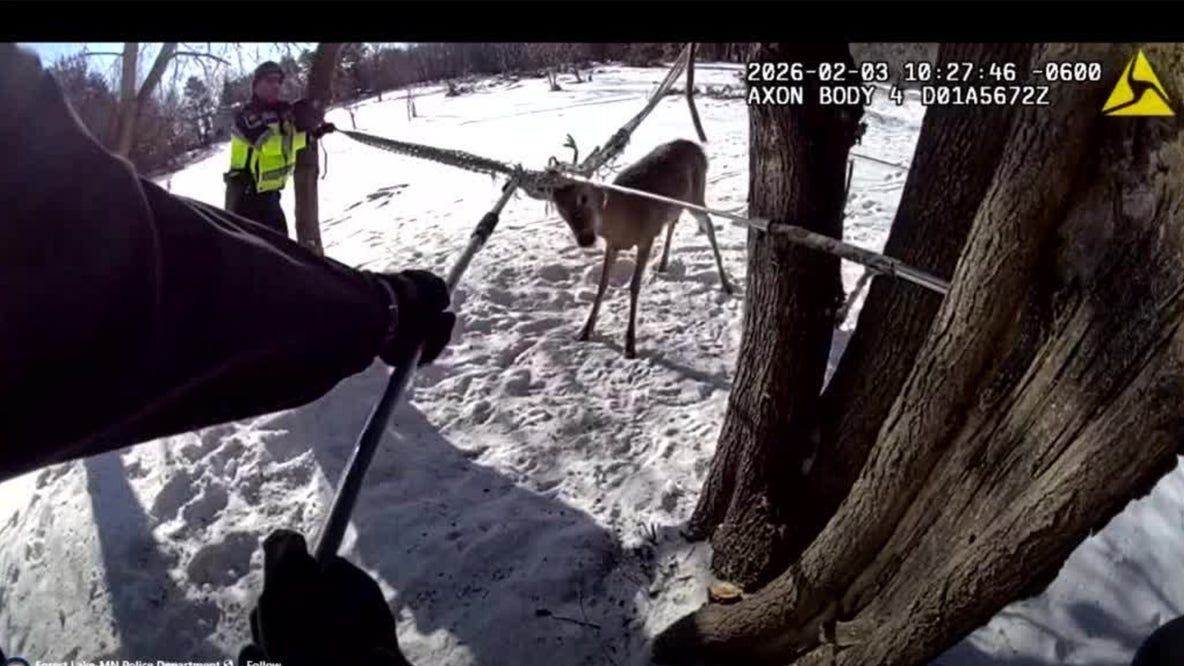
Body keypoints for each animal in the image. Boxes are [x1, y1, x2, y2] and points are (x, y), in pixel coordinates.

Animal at [550, 139, 733, 359]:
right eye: (559, 207)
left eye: (583, 196)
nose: (585, 239)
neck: (621, 218)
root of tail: (697, 146)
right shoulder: (612, 244)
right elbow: (602, 285)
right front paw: (585, 331)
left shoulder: (646, 238)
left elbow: (634, 286)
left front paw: (630, 345)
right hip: (676, 203)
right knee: (674, 221)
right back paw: (663, 264)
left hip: (696, 194)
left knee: (709, 226)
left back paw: (726, 284)